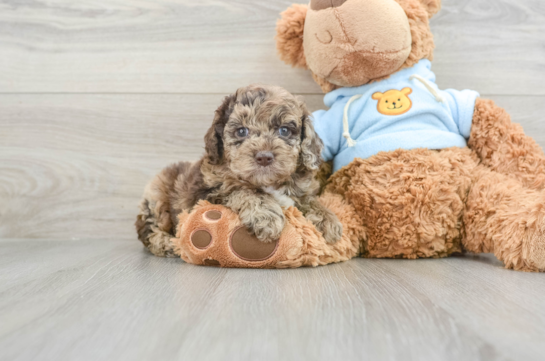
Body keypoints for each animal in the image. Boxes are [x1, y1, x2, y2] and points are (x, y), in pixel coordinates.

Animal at [136, 83, 340, 256]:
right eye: (242, 131)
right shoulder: (210, 193)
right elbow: (244, 190)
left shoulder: (302, 191)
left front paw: (328, 220)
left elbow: (310, 201)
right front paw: (266, 216)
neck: (268, 183)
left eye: (284, 130)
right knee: (147, 229)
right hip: (157, 197)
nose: (264, 157)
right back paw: (166, 243)